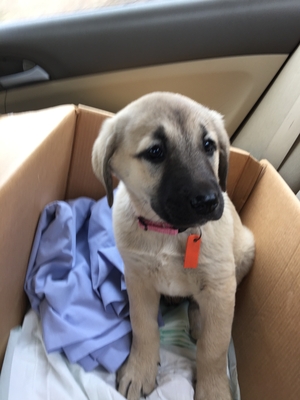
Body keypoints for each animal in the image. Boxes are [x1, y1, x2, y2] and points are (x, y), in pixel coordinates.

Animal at [91, 92, 253, 400]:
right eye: (155, 152)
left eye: (208, 145)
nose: (208, 201)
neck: (168, 232)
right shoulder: (138, 279)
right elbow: (143, 327)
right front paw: (139, 369)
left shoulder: (221, 286)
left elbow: (214, 347)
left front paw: (213, 389)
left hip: (246, 252)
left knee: (202, 311)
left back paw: (198, 322)